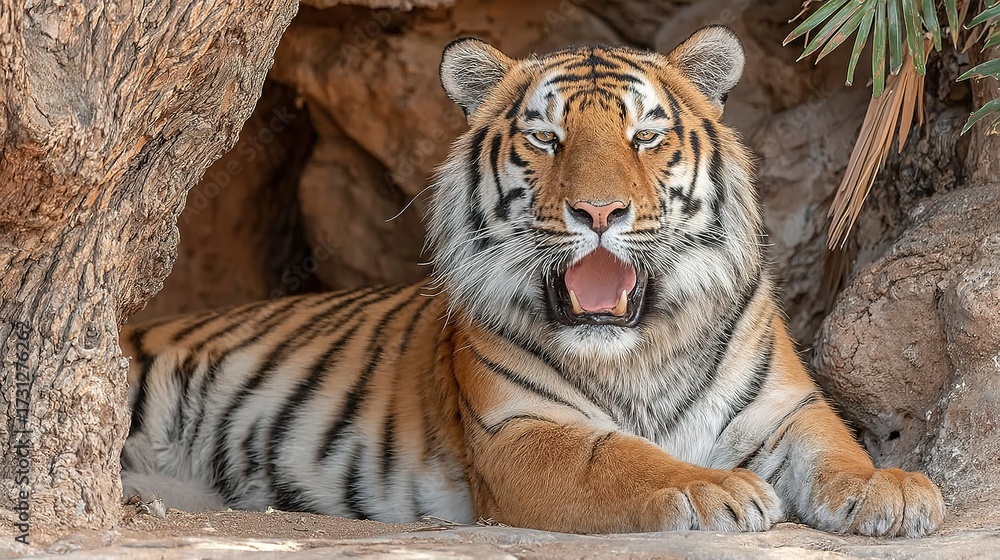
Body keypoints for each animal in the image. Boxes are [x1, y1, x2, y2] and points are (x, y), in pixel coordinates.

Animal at [119, 26, 946, 537]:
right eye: (546, 138)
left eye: (645, 135)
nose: (600, 211)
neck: (636, 351)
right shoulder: (521, 432)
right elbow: (624, 457)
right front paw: (715, 489)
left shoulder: (788, 409)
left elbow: (837, 450)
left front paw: (894, 488)